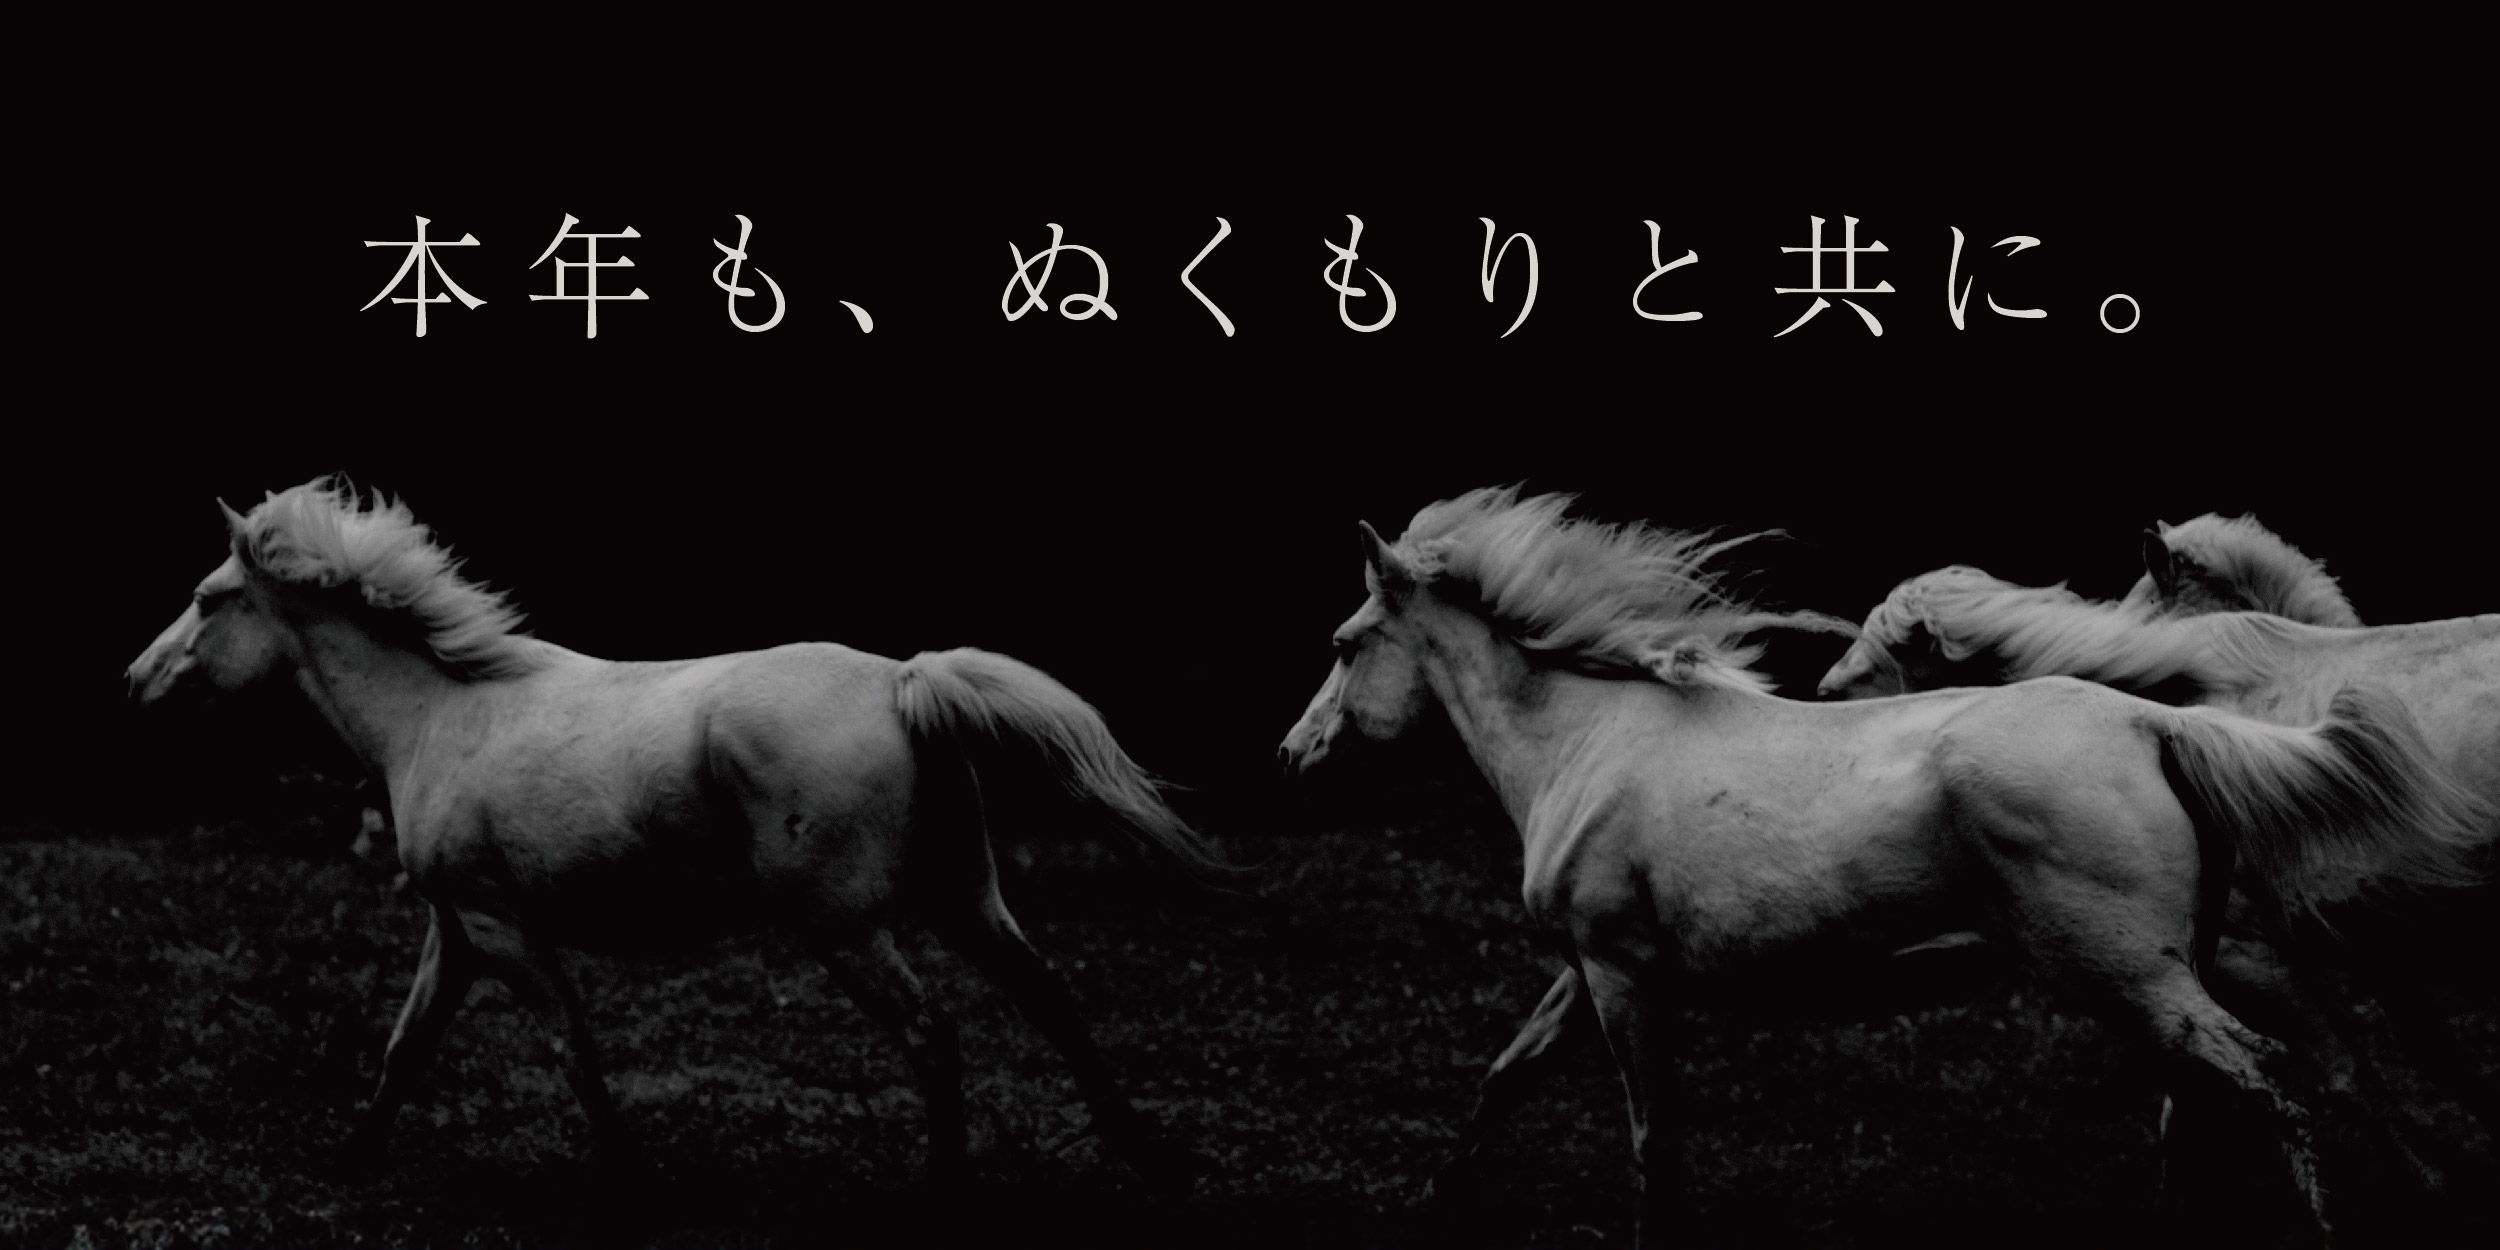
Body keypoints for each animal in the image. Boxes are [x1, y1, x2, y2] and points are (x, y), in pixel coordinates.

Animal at [125, 478, 1220, 1188]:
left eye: (210, 600)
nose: (136, 680)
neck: (440, 715)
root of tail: (903, 683)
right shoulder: (456, 929)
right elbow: (406, 1047)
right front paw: (351, 1159)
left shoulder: (504, 930)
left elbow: (572, 1049)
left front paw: (624, 1169)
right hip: (964, 894)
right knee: (1050, 998)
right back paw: (1144, 1152)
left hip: (847, 925)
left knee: (933, 1032)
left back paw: (945, 1180)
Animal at [1277, 487, 2486, 1248]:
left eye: (1342, 643)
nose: (1292, 755)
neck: (1584, 736)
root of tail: (2154, 722)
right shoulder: (1585, 970)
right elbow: (1503, 1080)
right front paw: (1431, 1205)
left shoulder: (1623, 979)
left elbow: (1651, 1139)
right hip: (2168, 969)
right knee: (2235, 1085)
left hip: (2134, 971)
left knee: (2274, 1075)